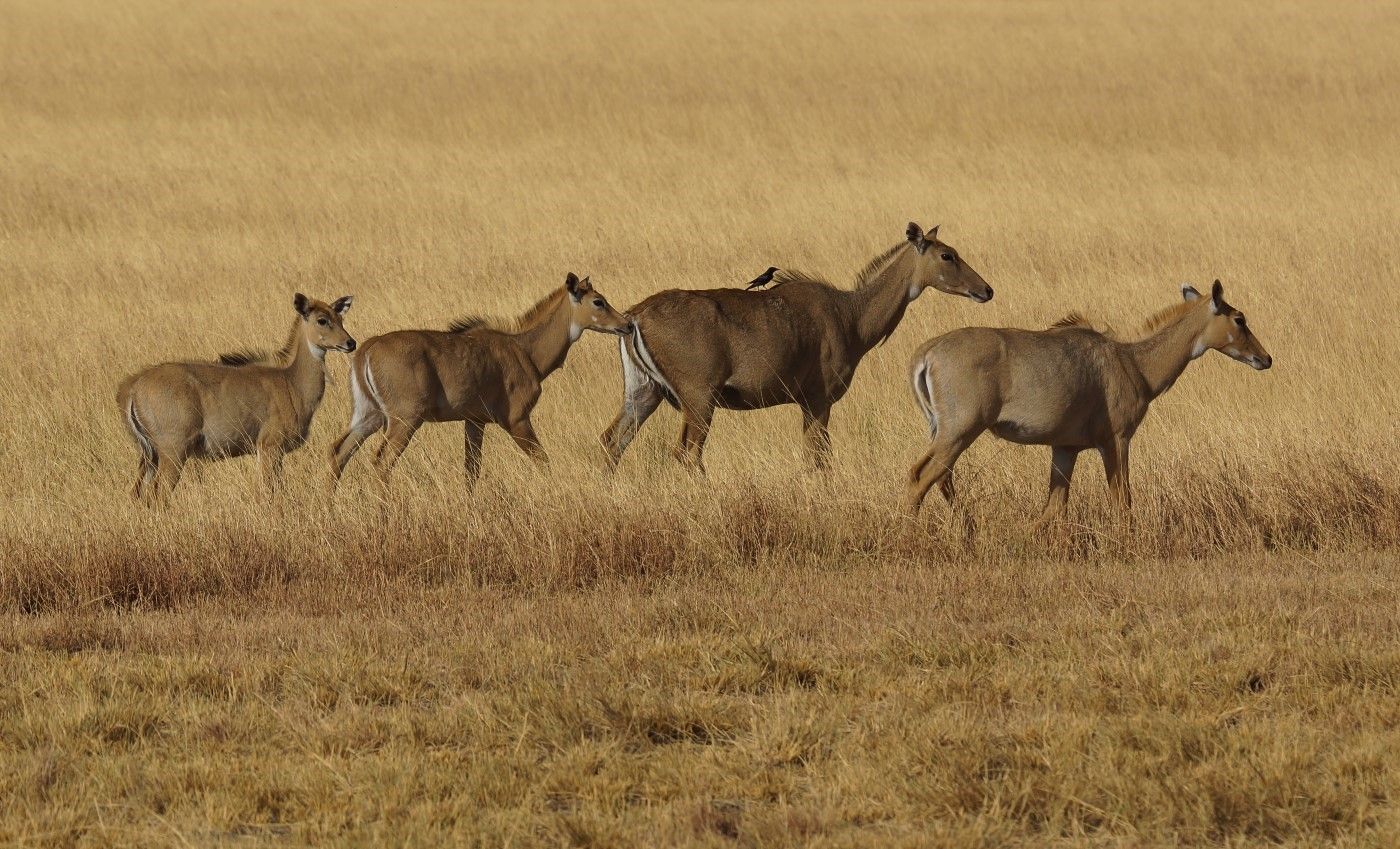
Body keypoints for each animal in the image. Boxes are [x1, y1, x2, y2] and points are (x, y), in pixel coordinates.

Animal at [118, 294, 355, 504]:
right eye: (322, 320)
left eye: (340, 318)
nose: (350, 343)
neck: (290, 382)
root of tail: (132, 388)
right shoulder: (269, 447)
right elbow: (269, 493)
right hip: (173, 452)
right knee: (159, 496)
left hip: (150, 456)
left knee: (137, 494)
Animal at [324, 274, 632, 484]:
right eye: (598, 301)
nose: (627, 324)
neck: (526, 349)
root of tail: (367, 349)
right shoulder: (517, 419)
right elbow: (543, 461)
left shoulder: (474, 421)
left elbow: (471, 471)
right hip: (404, 419)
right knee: (381, 462)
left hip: (370, 414)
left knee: (339, 451)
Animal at [602, 222, 996, 473]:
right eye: (947, 256)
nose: (986, 290)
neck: (850, 315)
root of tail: (634, 316)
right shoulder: (819, 399)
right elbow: (818, 460)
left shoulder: (807, 404)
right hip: (698, 398)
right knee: (686, 453)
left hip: (644, 392)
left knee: (612, 441)